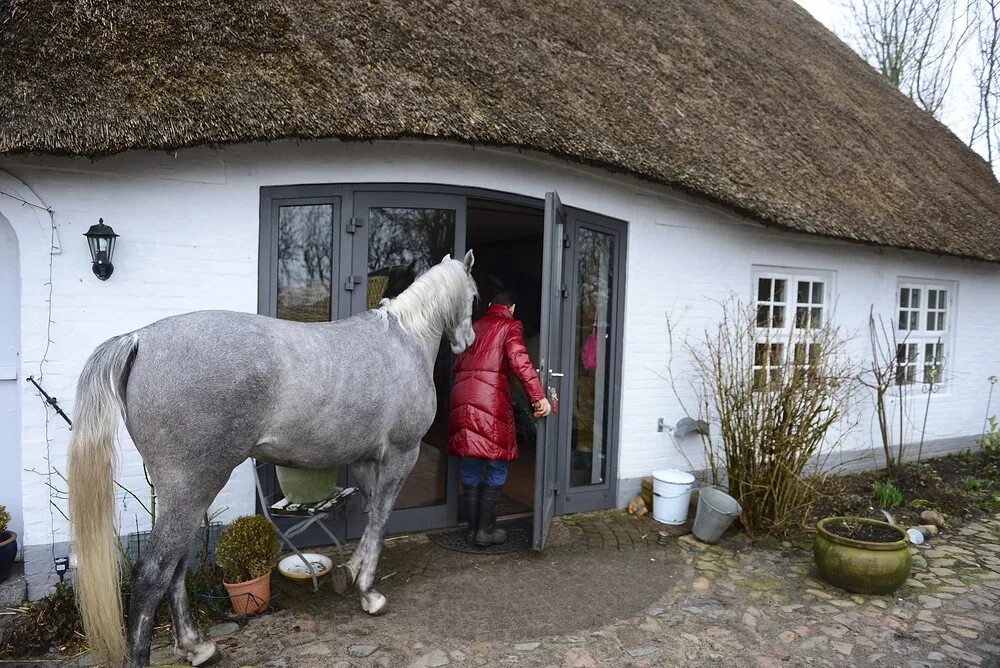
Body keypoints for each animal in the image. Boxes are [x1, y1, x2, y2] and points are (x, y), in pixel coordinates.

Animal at [68, 252, 478, 668]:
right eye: (475, 295)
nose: (468, 341)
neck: (404, 340)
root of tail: (140, 338)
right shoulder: (401, 455)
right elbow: (381, 520)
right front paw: (369, 593)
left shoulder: (365, 461)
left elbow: (371, 516)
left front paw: (352, 572)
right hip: (192, 488)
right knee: (153, 574)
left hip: (183, 494)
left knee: (176, 565)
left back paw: (196, 646)